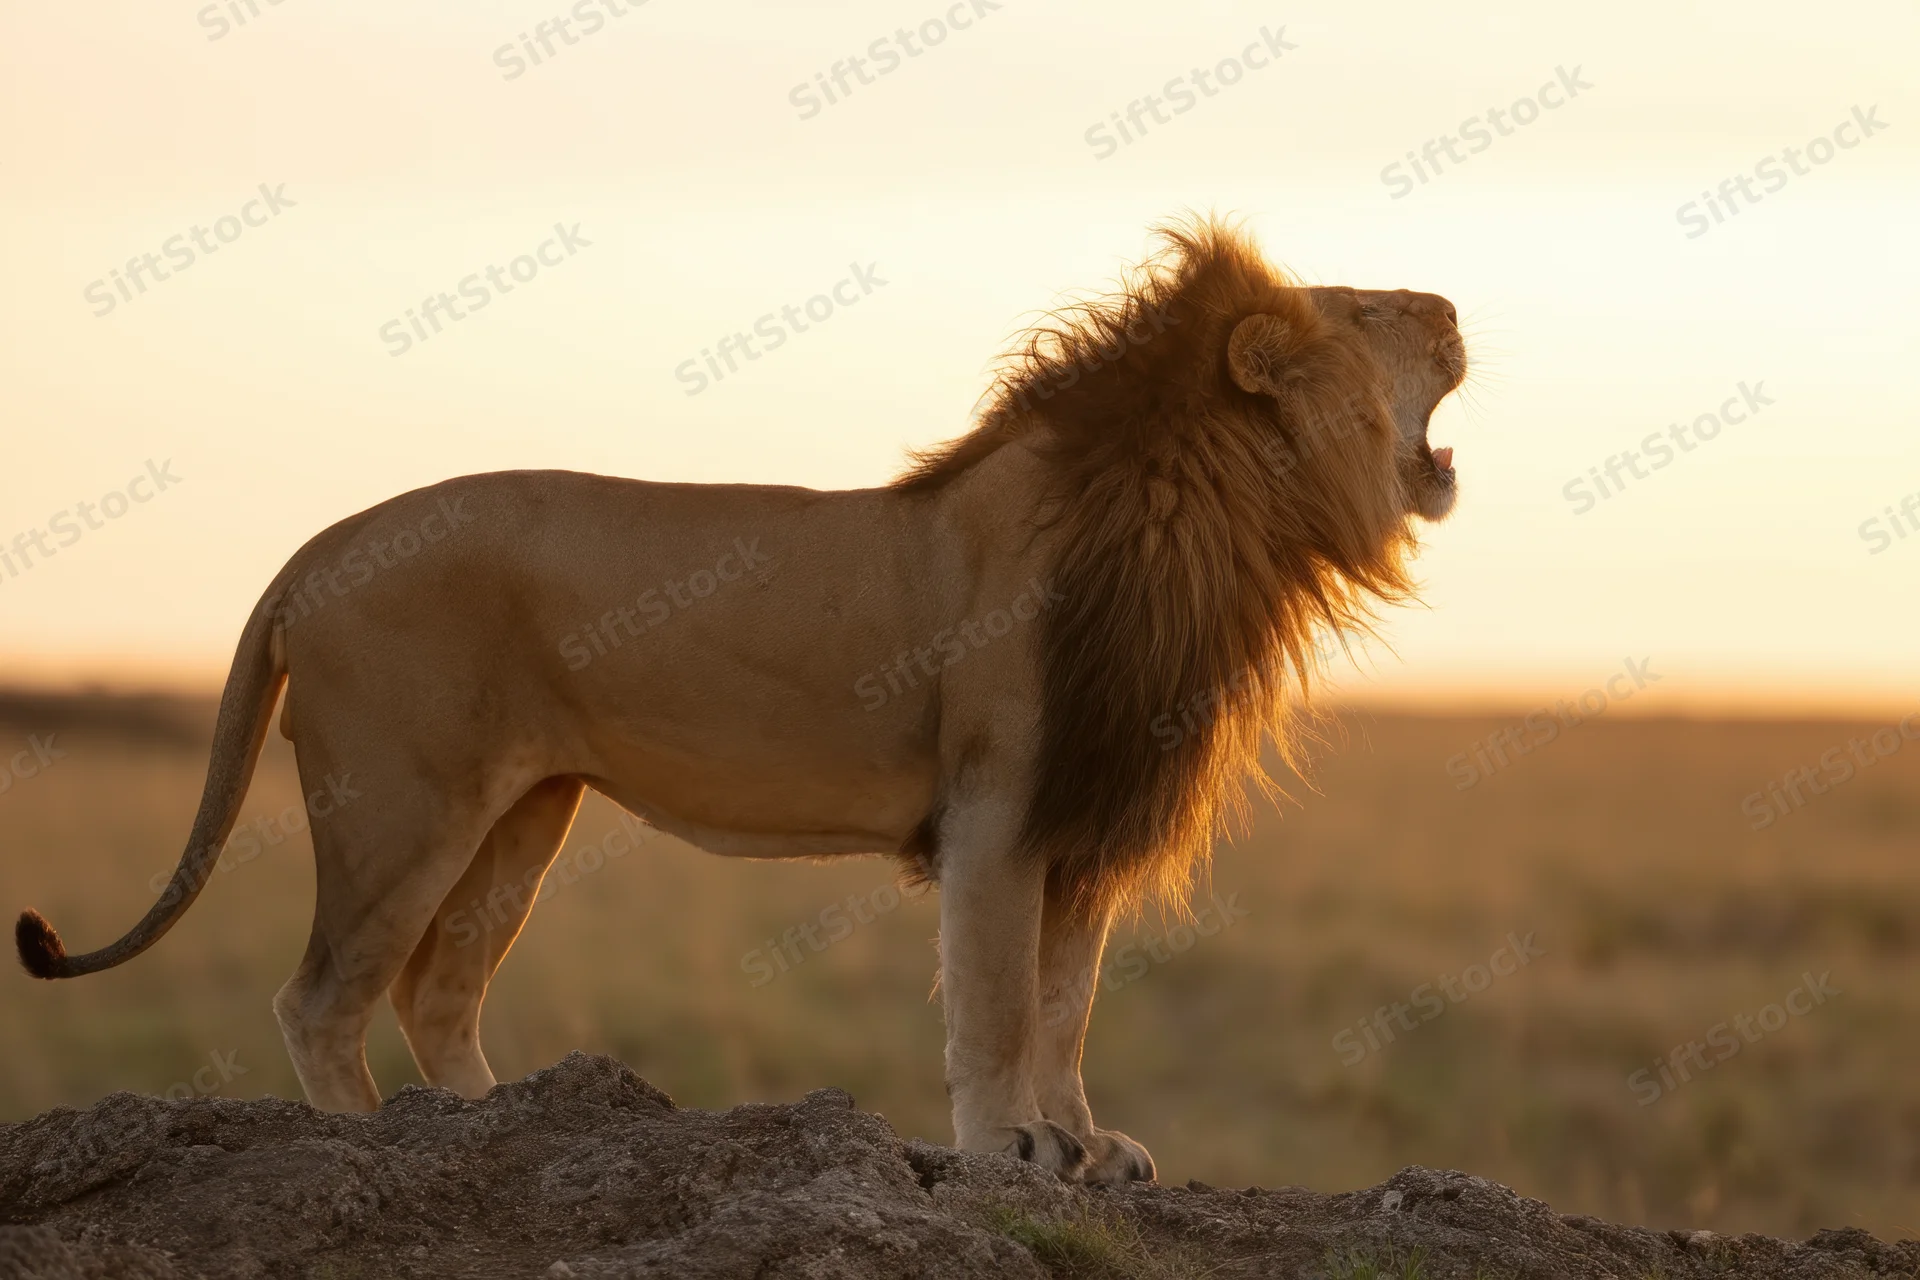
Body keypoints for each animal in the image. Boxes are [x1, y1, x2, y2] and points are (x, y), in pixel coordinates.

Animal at [15, 218, 1464, 1186]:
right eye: (1368, 313)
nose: (1452, 302)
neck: (1204, 526)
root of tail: (319, 544)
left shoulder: (1084, 813)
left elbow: (1068, 997)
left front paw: (1087, 1143)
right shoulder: (998, 808)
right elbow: (999, 997)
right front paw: (1008, 1144)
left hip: (523, 813)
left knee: (438, 994)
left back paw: (488, 1126)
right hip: (400, 806)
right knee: (321, 997)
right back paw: (379, 1147)